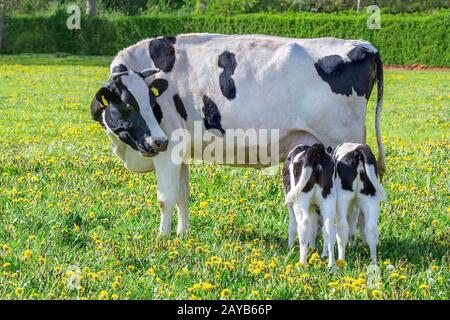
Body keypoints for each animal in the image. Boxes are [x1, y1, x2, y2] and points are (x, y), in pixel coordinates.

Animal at [89, 33, 384, 238]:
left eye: (151, 103)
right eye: (128, 104)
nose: (156, 142)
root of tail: (364, 45)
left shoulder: (169, 147)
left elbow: (166, 197)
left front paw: (163, 237)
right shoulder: (180, 149)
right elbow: (183, 194)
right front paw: (183, 234)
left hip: (342, 145)